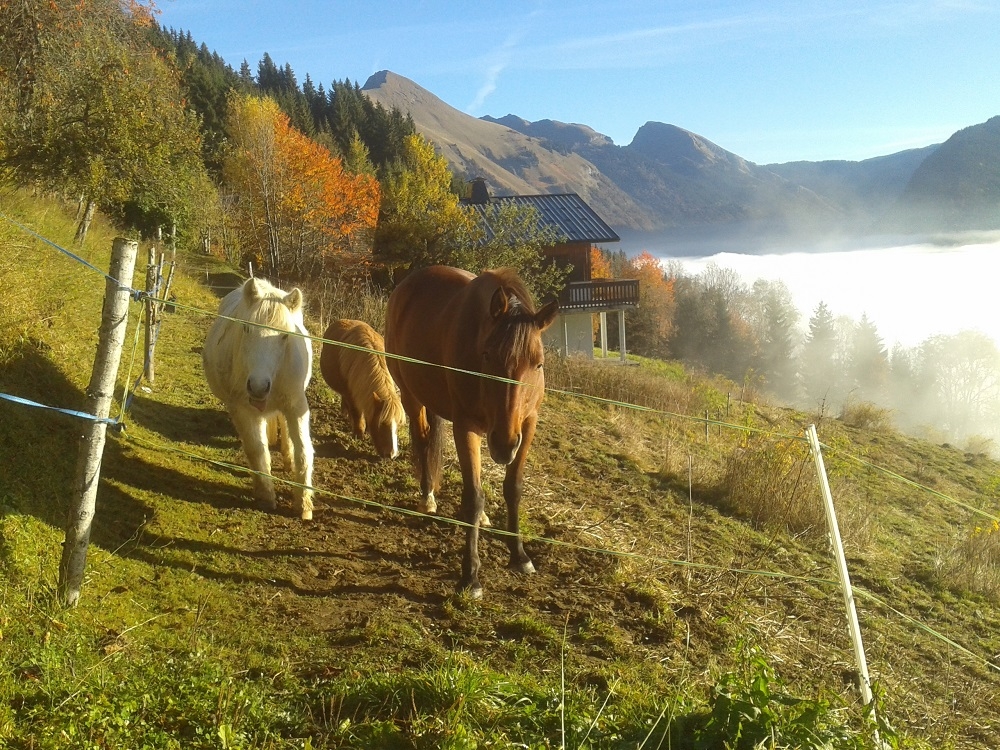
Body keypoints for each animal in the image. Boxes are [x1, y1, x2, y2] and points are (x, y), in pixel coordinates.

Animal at [202, 277, 315, 520]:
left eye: (285, 335)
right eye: (246, 328)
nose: (258, 387)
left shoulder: (296, 405)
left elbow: (304, 450)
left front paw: (303, 504)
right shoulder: (243, 410)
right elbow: (257, 450)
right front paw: (266, 496)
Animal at [319, 319, 405, 459]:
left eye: (398, 425)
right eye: (382, 424)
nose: (391, 455)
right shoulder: (351, 394)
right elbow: (356, 412)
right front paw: (358, 434)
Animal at [384, 265, 558, 598]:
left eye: (539, 364)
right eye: (487, 356)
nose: (504, 444)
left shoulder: (528, 424)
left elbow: (513, 488)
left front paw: (519, 555)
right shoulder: (466, 427)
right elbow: (473, 497)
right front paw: (471, 577)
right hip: (412, 395)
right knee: (423, 439)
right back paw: (427, 497)